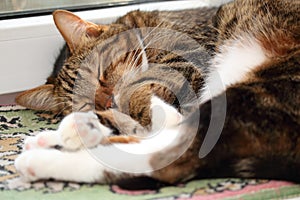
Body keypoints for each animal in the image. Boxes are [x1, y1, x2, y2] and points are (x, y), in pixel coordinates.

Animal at [14, 0, 300, 188]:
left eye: (99, 73)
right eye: (84, 103)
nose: (108, 101)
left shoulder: (190, 57)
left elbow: (148, 88)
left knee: (167, 154)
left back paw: (41, 155)